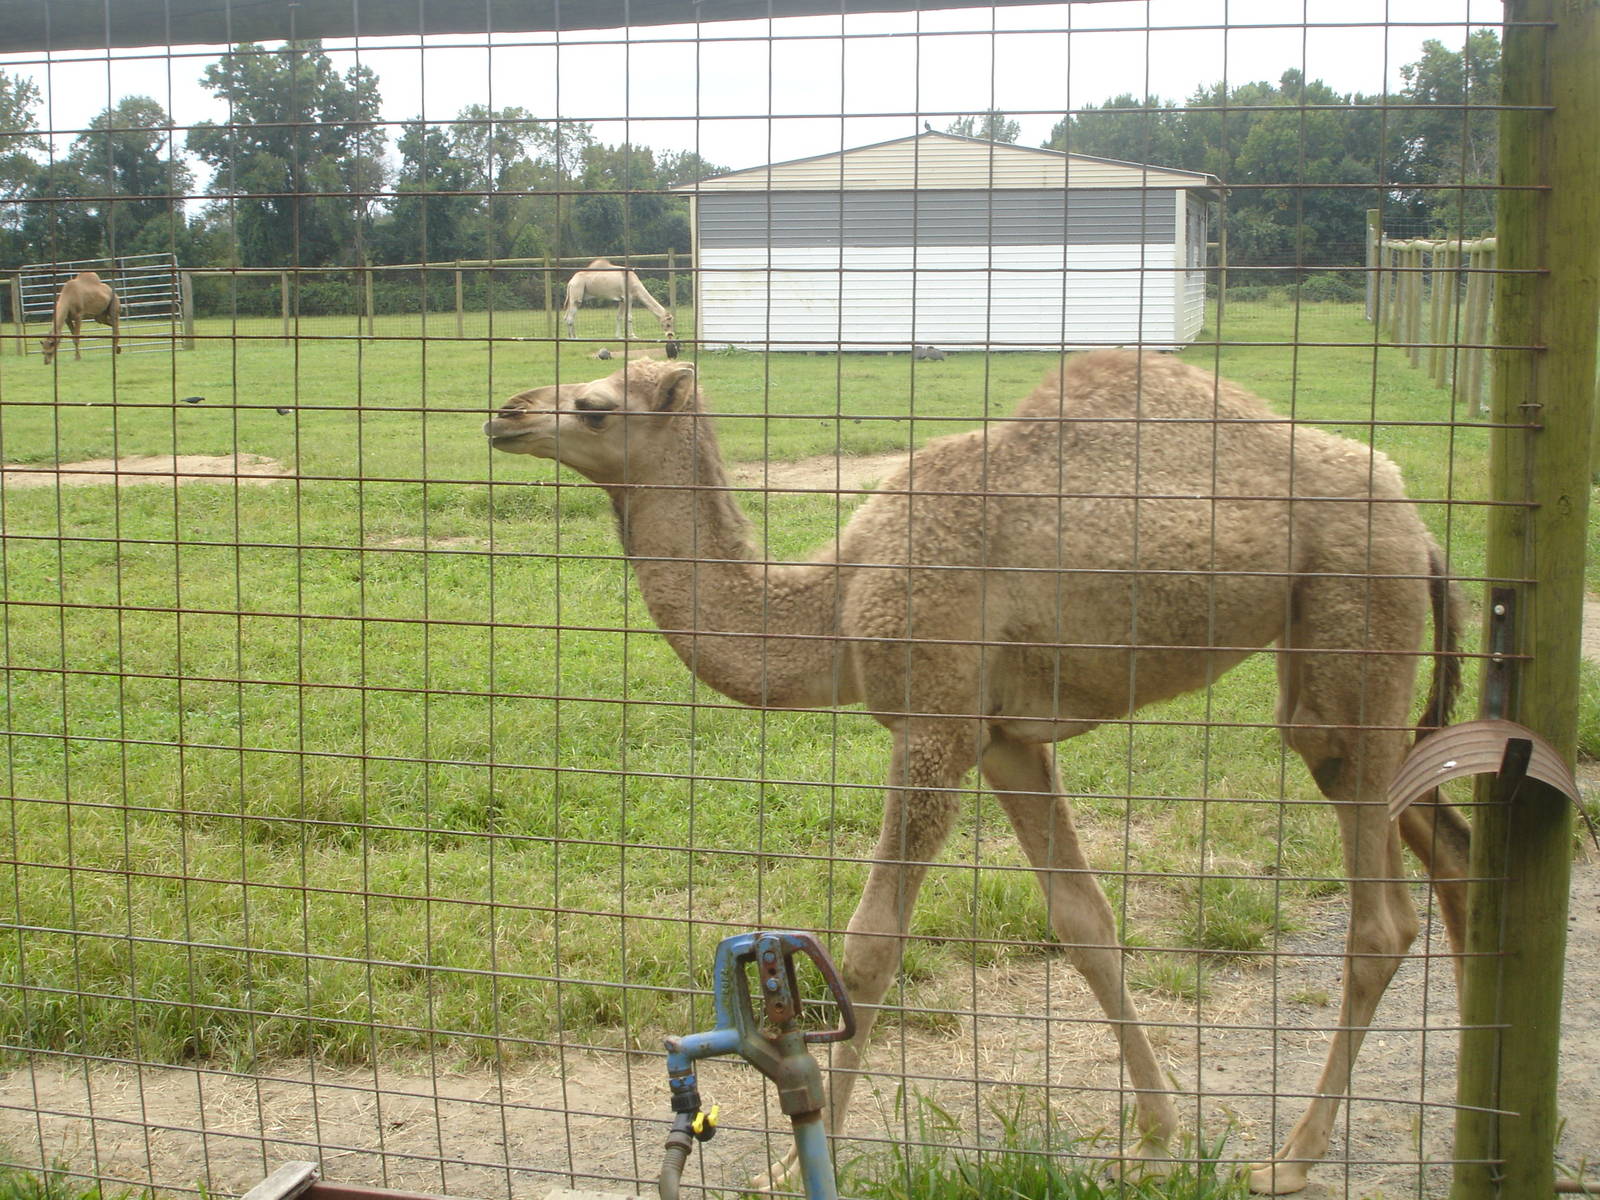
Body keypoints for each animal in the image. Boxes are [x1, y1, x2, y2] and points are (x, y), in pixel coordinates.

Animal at [483, 351, 1472, 1195]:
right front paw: (1156, 1136)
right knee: (1447, 831)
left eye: (594, 405)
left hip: (1356, 619)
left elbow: (872, 947)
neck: (834, 601)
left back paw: (1294, 1156)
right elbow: (1085, 924)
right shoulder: (1003, 737)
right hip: (1341, 673)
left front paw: (794, 1160)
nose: (507, 411)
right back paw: (1473, 1103)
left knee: (1383, 916)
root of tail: (1423, 526)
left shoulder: (934, 722)